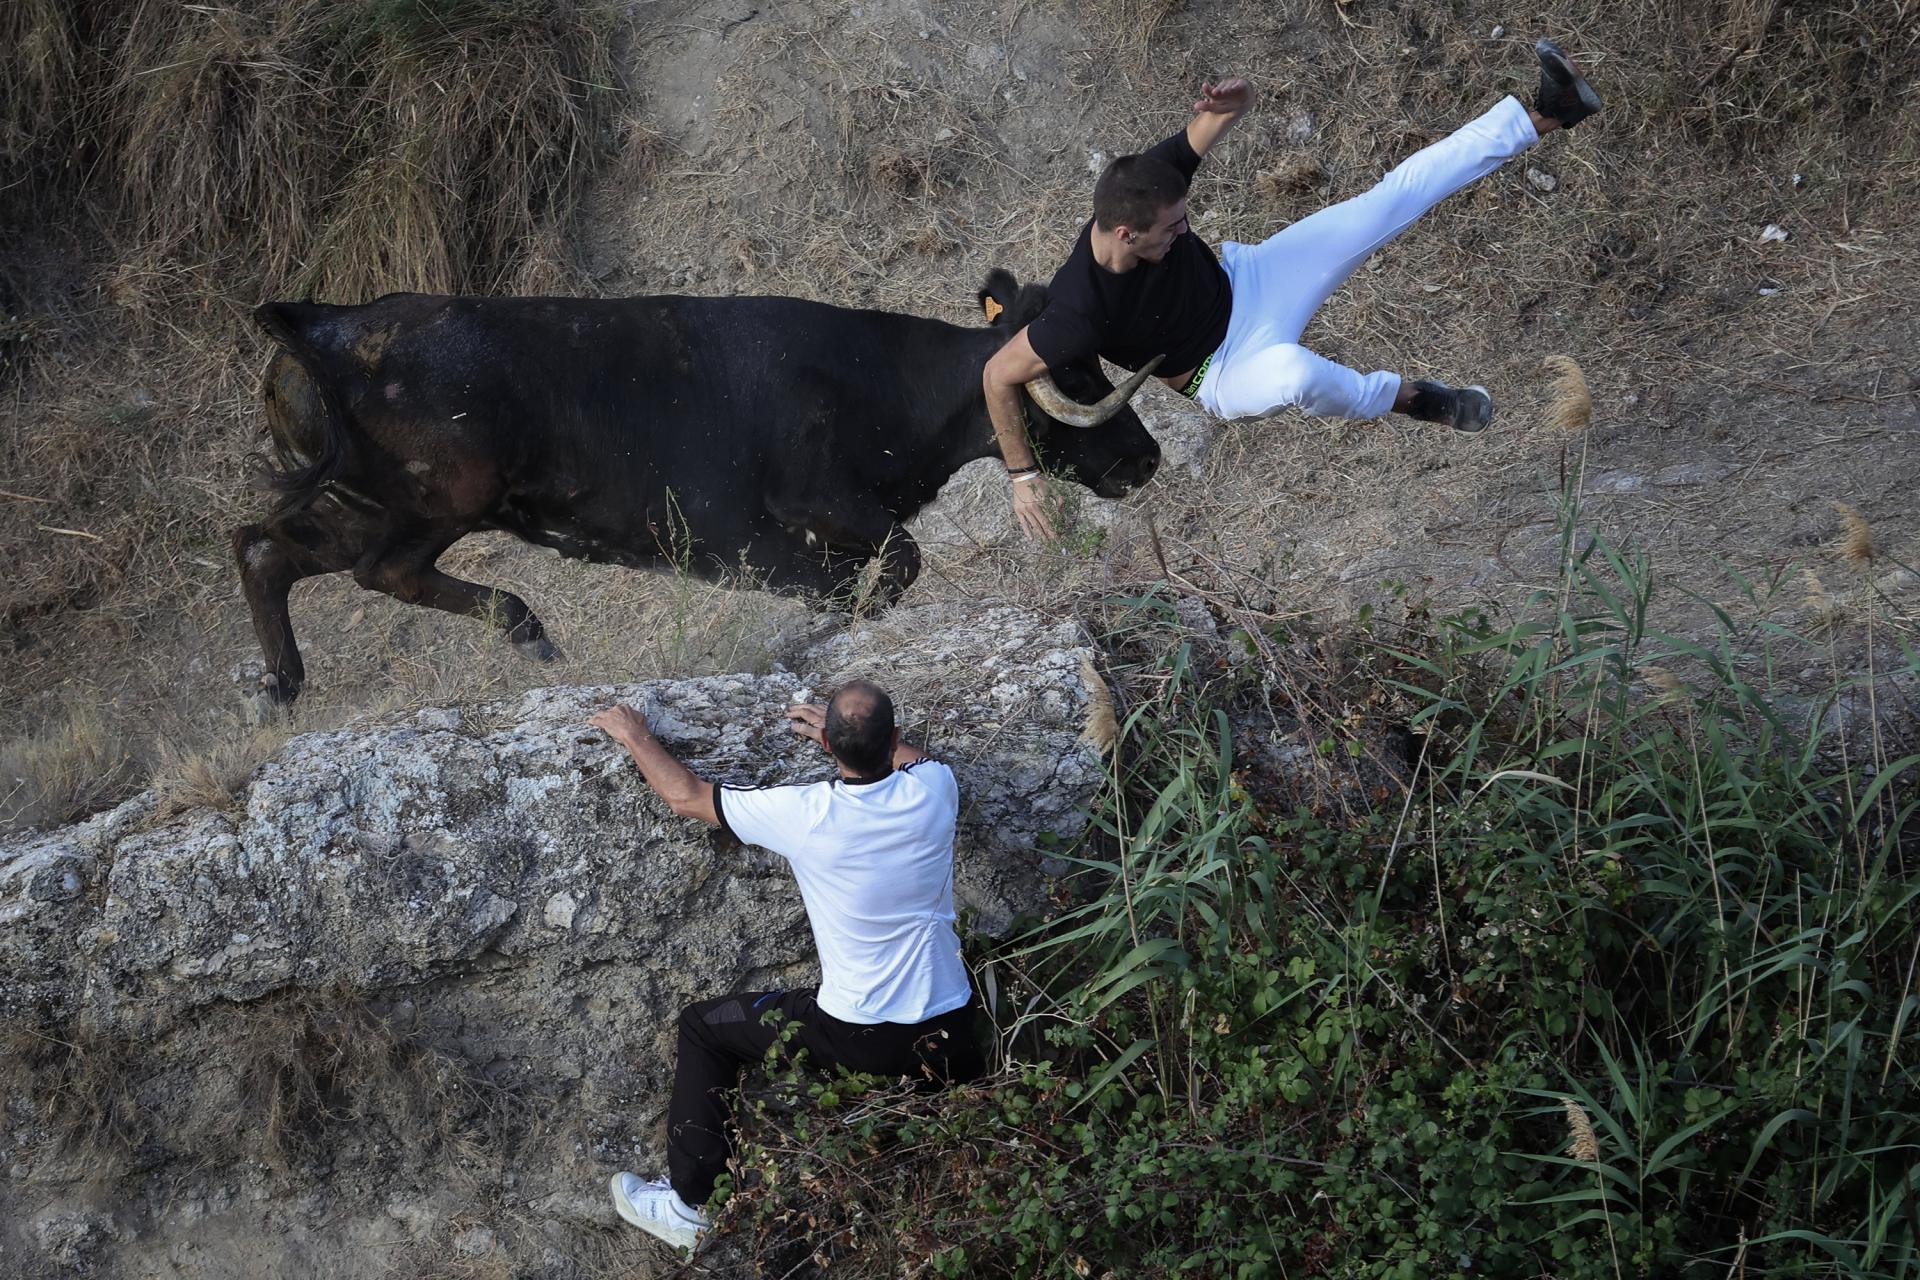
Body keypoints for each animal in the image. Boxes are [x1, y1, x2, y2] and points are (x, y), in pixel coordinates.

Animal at [224, 270, 1152, 706]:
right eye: (1074, 368)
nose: (1146, 459)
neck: (882, 384)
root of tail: (319, 321)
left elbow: (867, 576)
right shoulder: (789, 521)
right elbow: (894, 565)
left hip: (365, 502)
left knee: (265, 548)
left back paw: (283, 688)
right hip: (436, 501)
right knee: (375, 569)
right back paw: (527, 632)